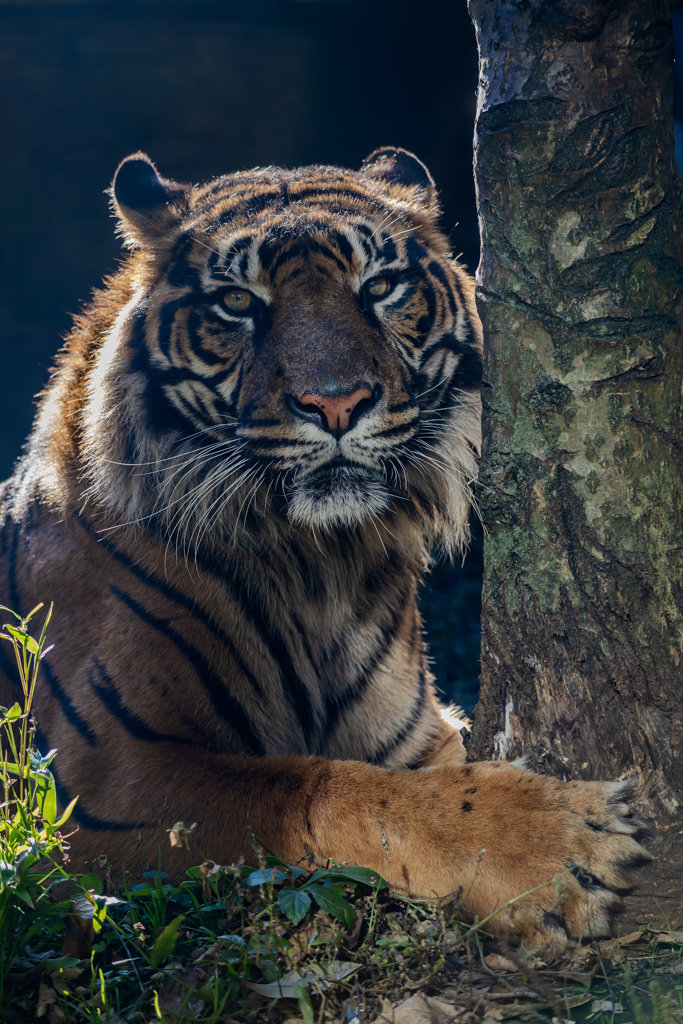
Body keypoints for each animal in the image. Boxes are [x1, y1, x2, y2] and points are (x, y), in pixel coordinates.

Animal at [0, 146, 651, 942]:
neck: (318, 563)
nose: (336, 403)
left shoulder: (419, 735)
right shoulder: (103, 780)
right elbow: (318, 785)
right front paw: (557, 845)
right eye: (238, 302)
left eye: (380, 287)